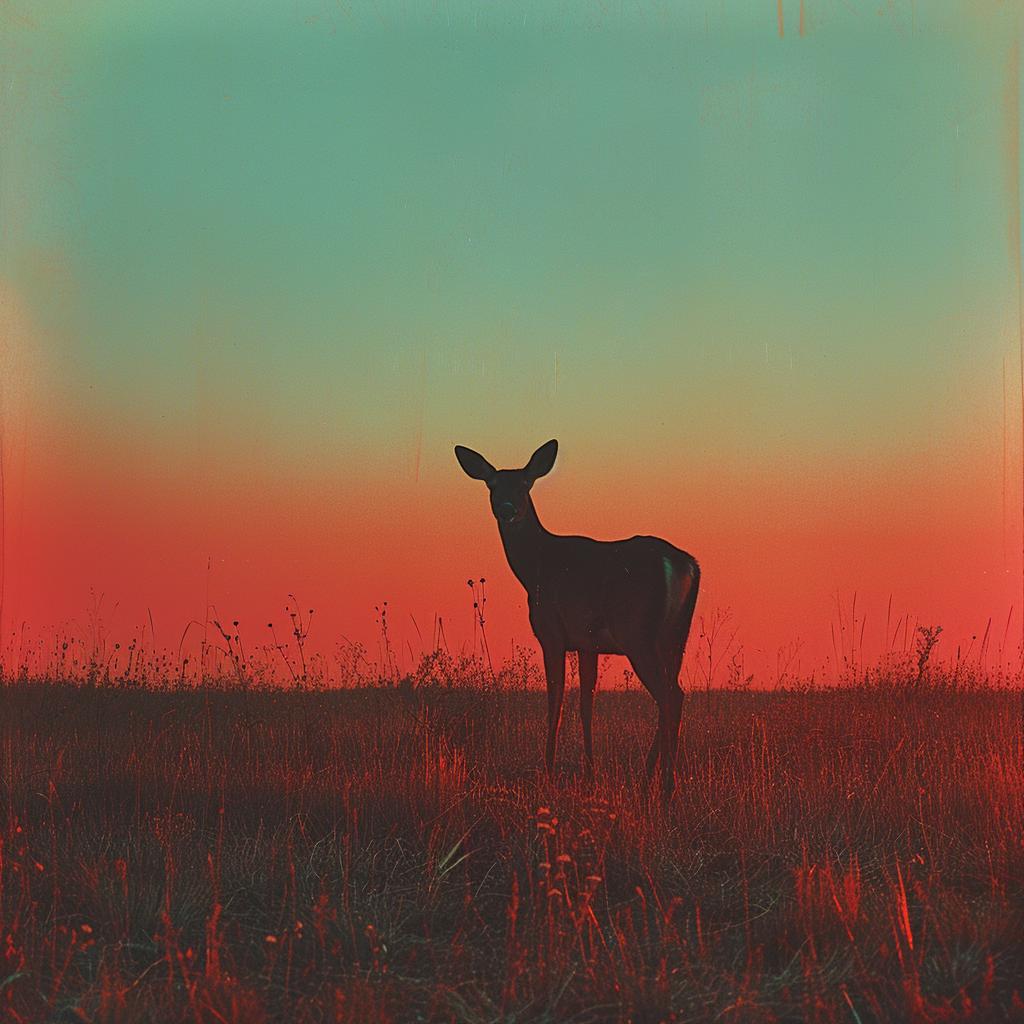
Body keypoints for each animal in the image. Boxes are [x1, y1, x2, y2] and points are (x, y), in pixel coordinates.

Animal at [454, 439, 700, 802]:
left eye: (525, 484)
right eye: (493, 485)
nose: (507, 508)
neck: (535, 569)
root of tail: (685, 564)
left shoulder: (552, 633)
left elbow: (555, 702)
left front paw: (548, 771)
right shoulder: (587, 643)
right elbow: (587, 704)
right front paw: (589, 774)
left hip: (638, 635)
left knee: (671, 696)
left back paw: (666, 787)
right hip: (676, 637)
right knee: (671, 696)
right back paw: (647, 780)